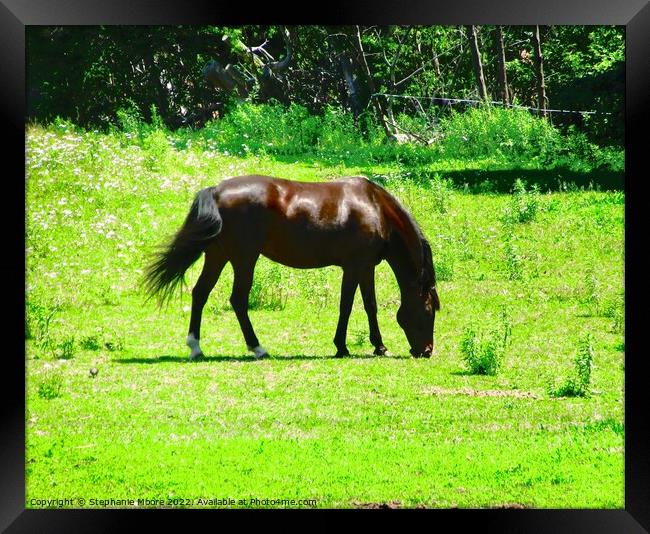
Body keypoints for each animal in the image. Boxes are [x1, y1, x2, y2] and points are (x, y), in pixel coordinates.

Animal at [144, 176, 438, 360]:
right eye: (428, 310)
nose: (426, 351)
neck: (376, 208)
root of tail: (216, 191)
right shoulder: (353, 267)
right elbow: (346, 306)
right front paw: (341, 347)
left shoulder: (366, 268)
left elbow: (370, 306)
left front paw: (379, 346)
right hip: (244, 259)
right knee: (238, 299)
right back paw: (257, 348)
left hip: (218, 257)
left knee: (200, 293)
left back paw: (196, 347)